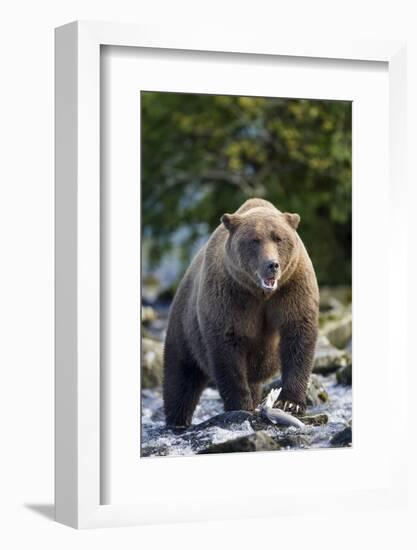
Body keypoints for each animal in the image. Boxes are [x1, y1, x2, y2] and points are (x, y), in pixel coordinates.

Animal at [162, 199, 318, 432]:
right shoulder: (230, 297)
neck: (260, 293)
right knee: (181, 377)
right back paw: (177, 420)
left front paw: (291, 403)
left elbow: (298, 334)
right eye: (254, 240)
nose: (272, 265)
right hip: (183, 328)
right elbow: (228, 349)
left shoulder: (292, 287)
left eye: (278, 238)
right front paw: (240, 405)